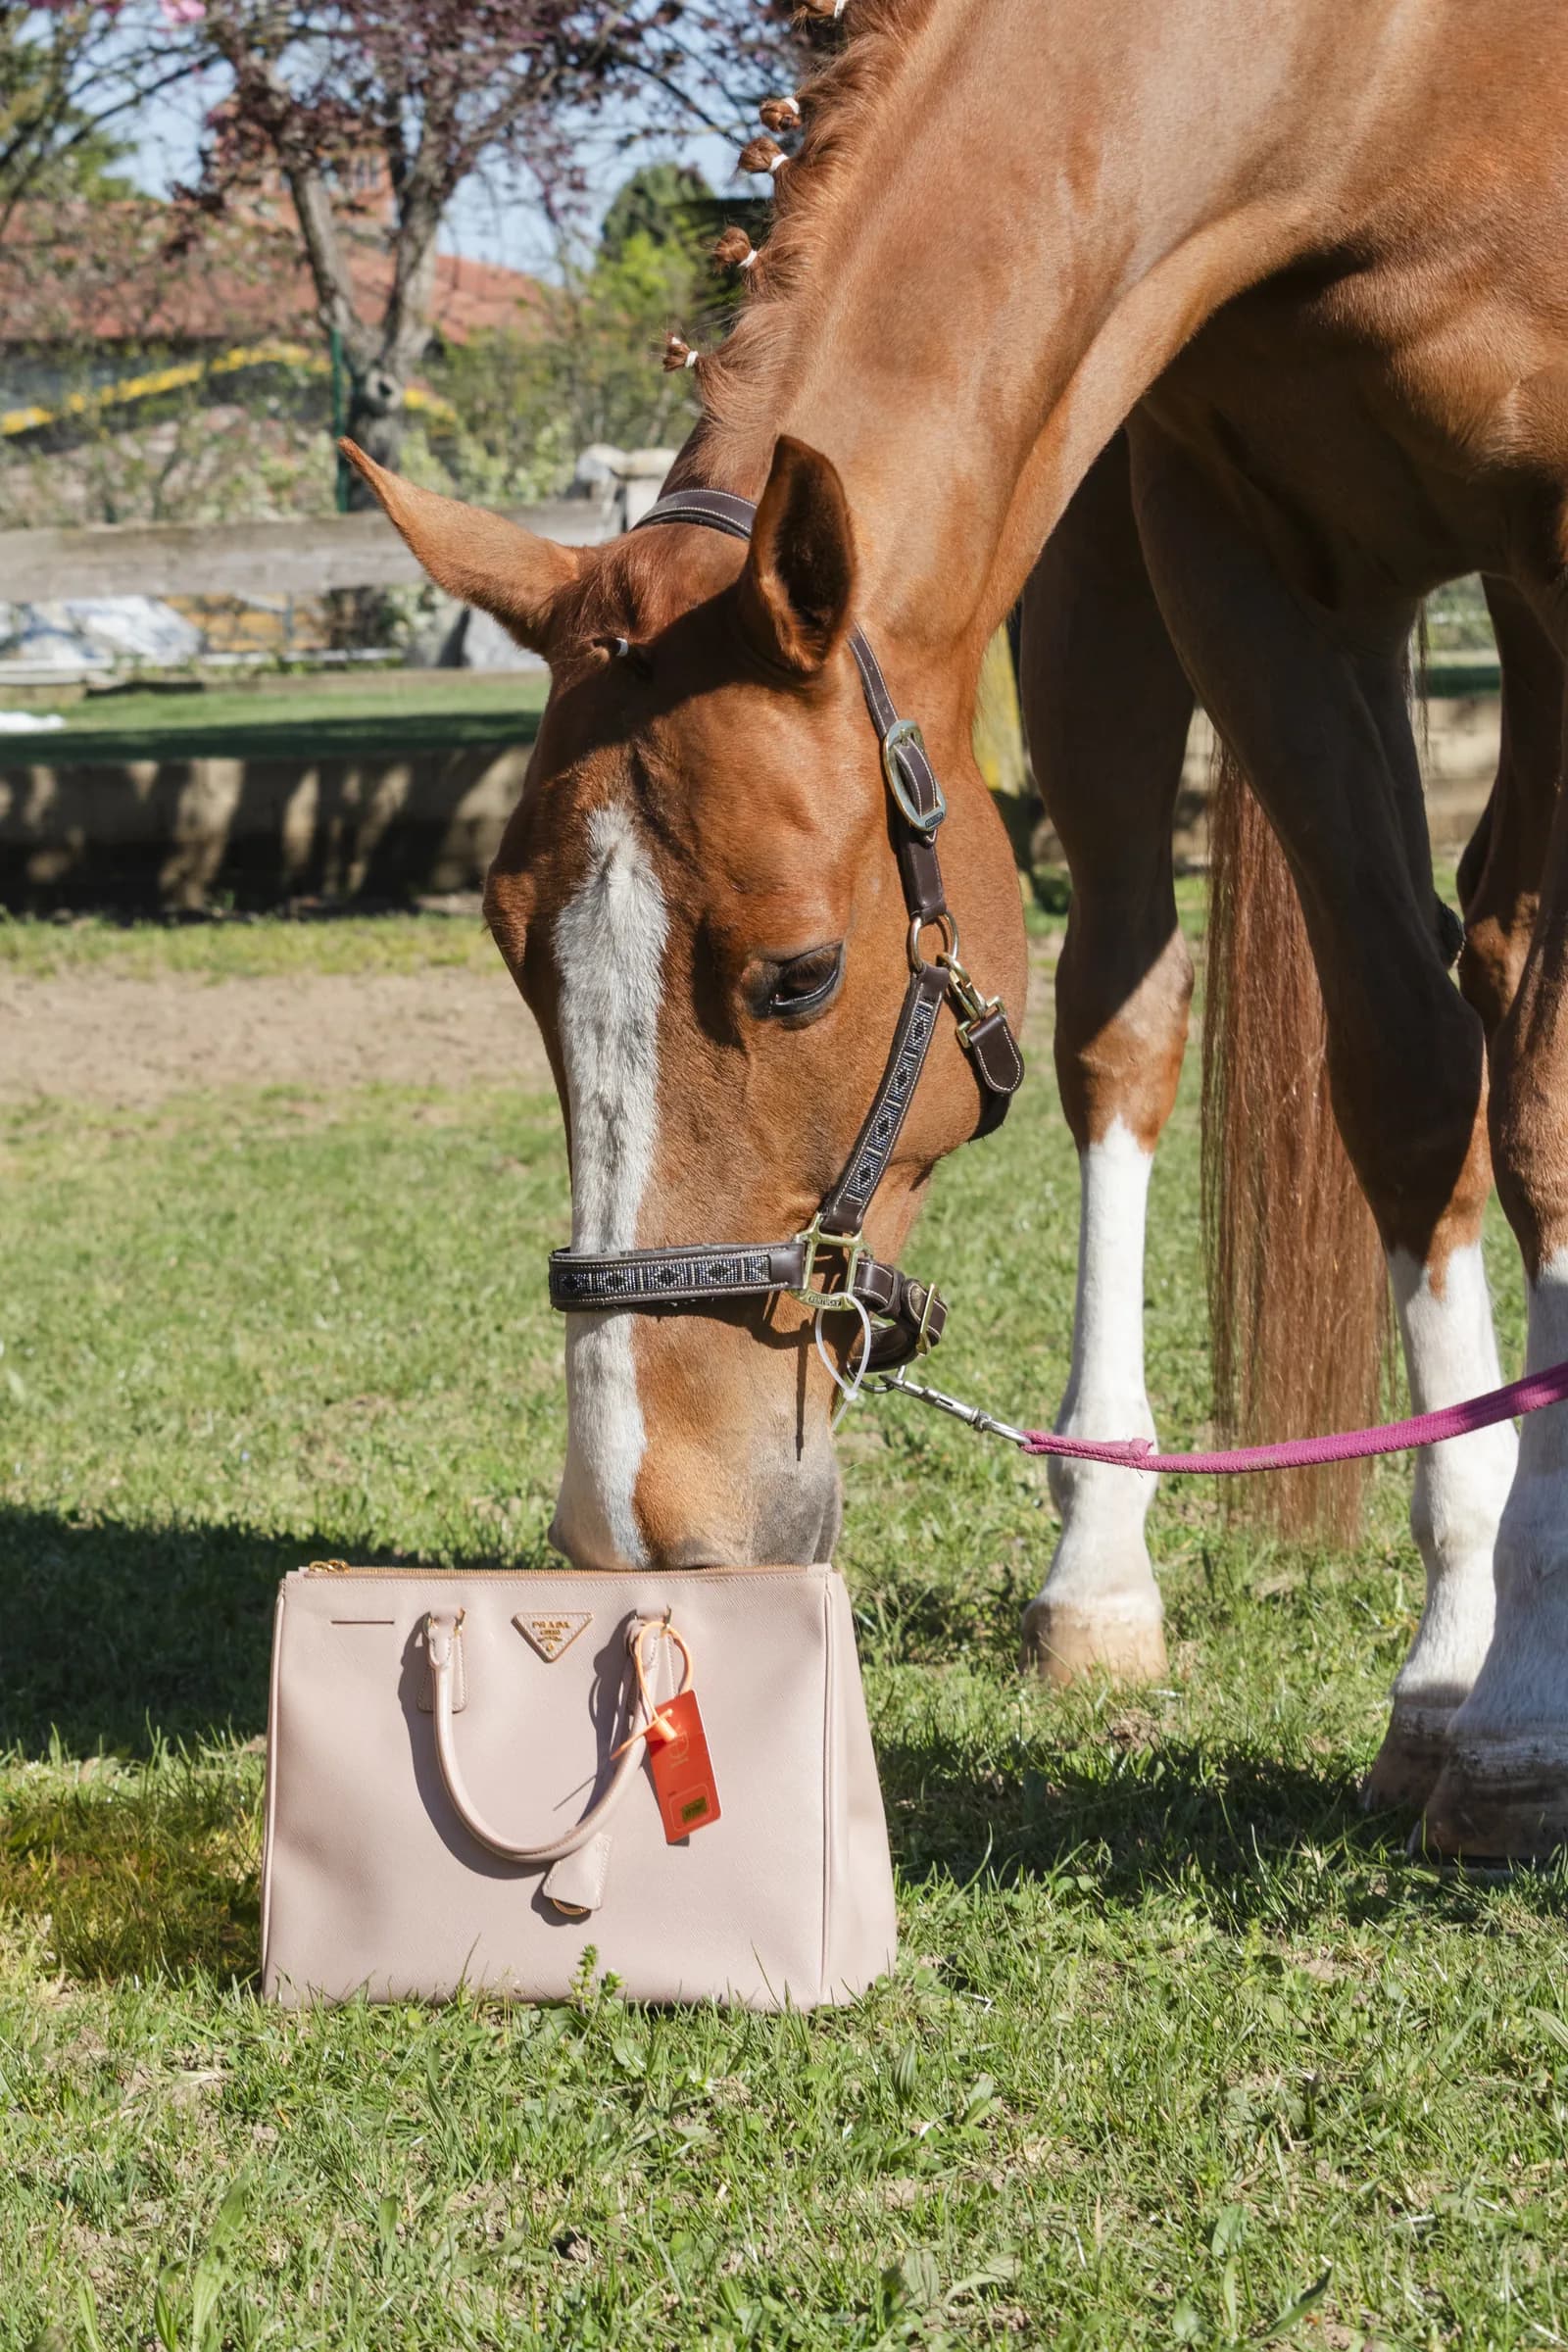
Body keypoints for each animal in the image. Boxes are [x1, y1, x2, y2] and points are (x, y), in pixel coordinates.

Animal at [342, 0, 1568, 1862]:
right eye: (514, 954)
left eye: (800, 976)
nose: (636, 1515)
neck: (1397, 83)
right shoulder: (1239, 556)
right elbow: (1407, 1073)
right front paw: (1451, 1667)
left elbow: (1543, 1090)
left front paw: (1520, 1705)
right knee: (1133, 1012)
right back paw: (1100, 1571)